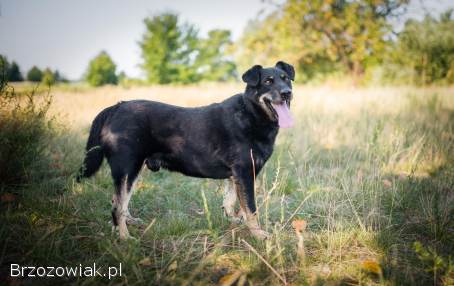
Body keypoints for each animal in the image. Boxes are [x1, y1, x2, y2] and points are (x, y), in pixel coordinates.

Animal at [77, 62, 294, 239]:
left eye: (286, 79)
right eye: (268, 81)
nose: (287, 93)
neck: (251, 113)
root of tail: (116, 107)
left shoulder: (236, 175)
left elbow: (230, 202)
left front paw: (233, 222)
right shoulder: (245, 172)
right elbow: (251, 209)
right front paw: (258, 235)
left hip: (131, 171)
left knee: (118, 201)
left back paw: (126, 224)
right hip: (127, 167)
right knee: (117, 207)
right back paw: (125, 238)